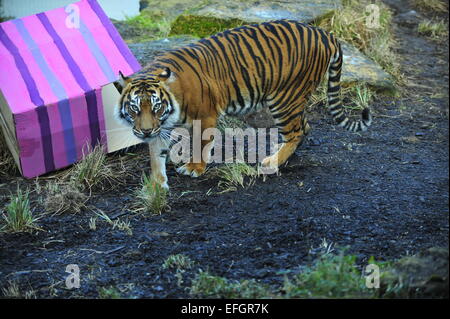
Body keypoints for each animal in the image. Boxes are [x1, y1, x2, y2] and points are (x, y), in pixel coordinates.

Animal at [115, 20, 372, 190]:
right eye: (134, 108)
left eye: (156, 107)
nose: (144, 131)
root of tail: (322, 32)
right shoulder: (160, 128)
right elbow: (155, 155)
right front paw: (157, 185)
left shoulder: (204, 117)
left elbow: (200, 144)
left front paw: (194, 168)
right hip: (293, 98)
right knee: (304, 127)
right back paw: (280, 153)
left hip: (284, 98)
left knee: (297, 131)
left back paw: (272, 162)